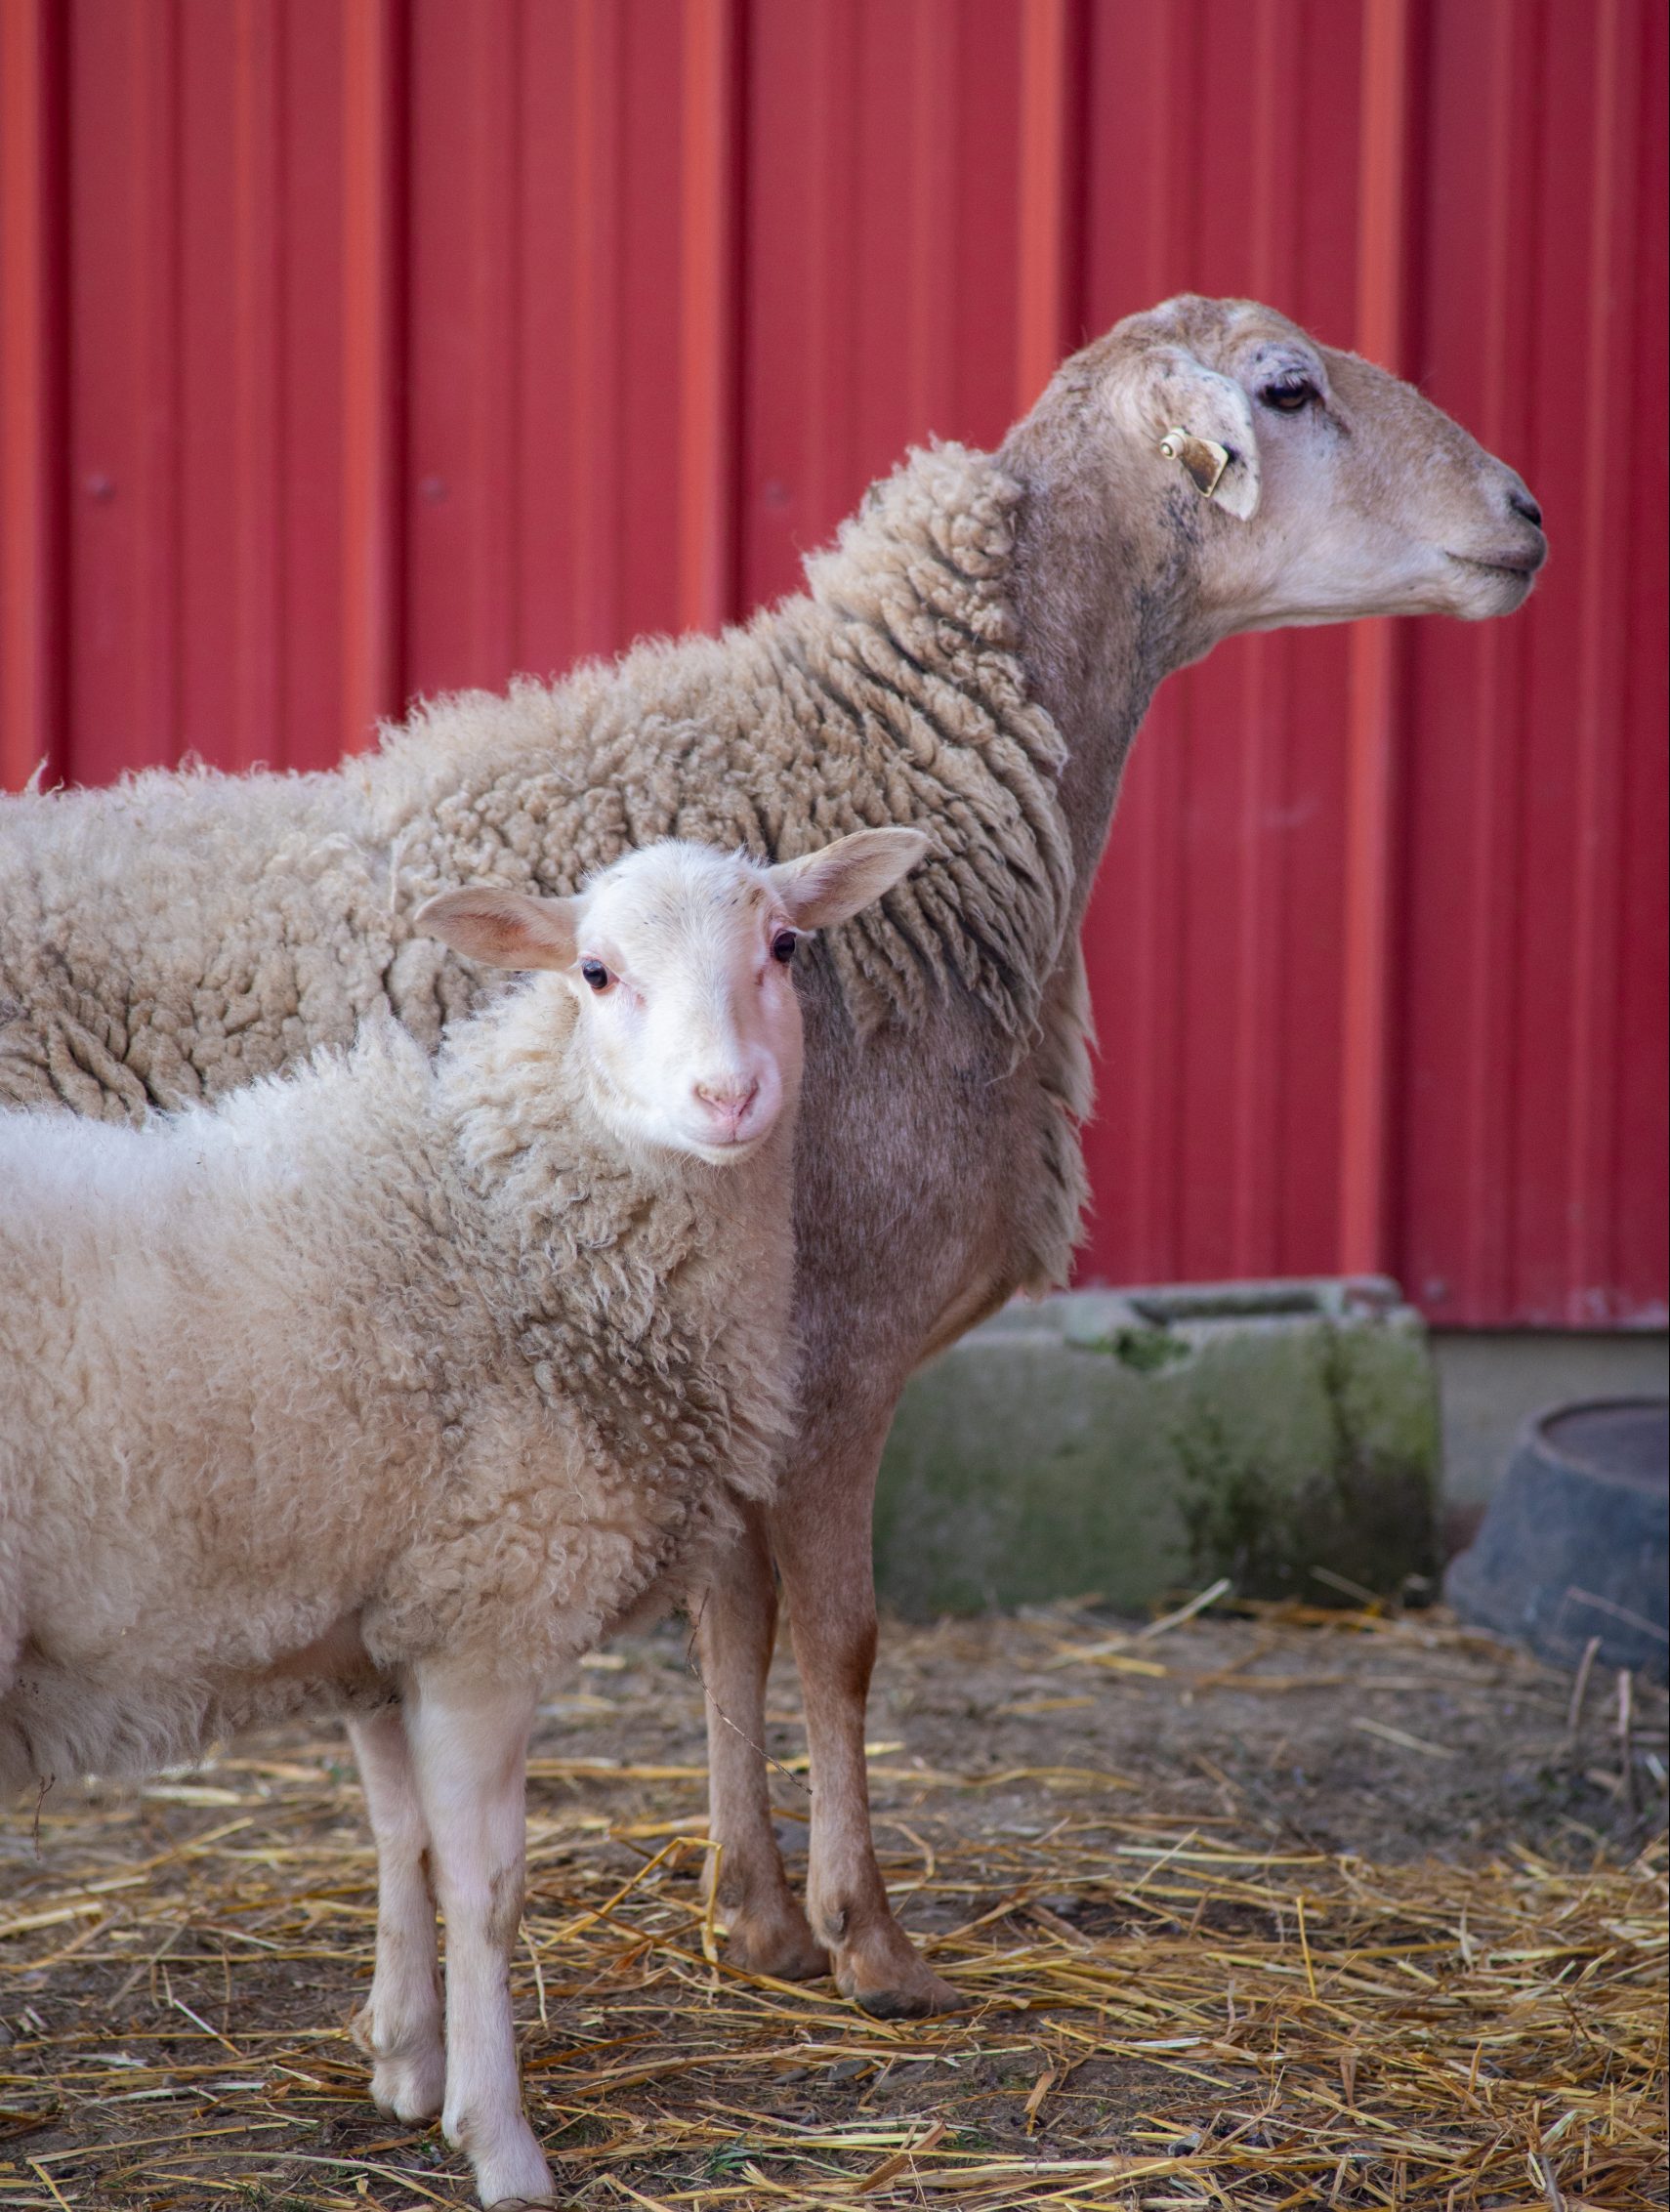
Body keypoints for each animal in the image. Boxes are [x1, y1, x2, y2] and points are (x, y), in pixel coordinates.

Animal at [0, 293, 1547, 2018]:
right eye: (1285, 390)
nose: (1525, 520)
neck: (909, 783)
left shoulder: (737, 1339)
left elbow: (730, 1624)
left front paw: (752, 1914)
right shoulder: (841, 1340)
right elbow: (840, 1638)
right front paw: (871, 1939)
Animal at [0, 825, 929, 2209]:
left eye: (782, 945)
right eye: (594, 971)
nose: (728, 1098)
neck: (495, 1209)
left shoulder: (389, 1620)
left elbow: (403, 1842)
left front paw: (405, 2062)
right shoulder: (490, 1616)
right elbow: (486, 1887)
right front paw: (499, 2140)